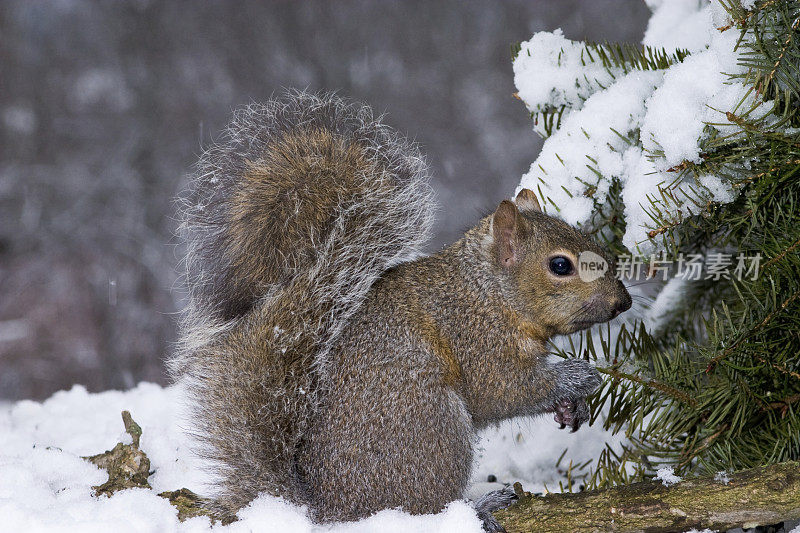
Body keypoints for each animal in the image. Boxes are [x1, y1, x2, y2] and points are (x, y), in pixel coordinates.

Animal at [170, 89, 632, 528]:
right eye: (560, 265)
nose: (623, 301)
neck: (488, 293)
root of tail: (326, 509)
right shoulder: (478, 341)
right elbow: (509, 390)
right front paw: (579, 377)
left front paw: (573, 405)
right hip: (432, 426)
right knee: (425, 506)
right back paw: (479, 507)